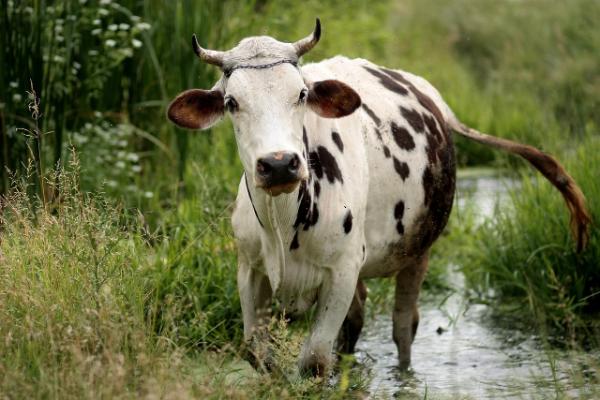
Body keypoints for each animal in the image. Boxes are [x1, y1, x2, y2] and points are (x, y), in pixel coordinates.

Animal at [165, 18, 592, 376]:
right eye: (231, 103)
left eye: (301, 94)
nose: (280, 164)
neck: (282, 225)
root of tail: (429, 93)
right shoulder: (250, 271)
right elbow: (260, 356)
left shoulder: (342, 271)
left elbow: (314, 361)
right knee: (355, 325)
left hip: (418, 250)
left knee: (404, 326)